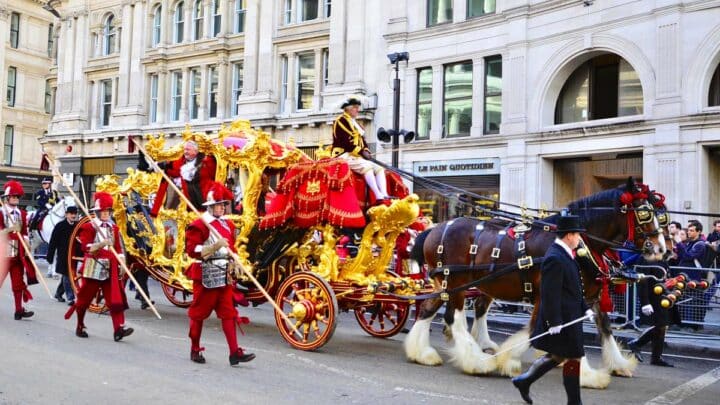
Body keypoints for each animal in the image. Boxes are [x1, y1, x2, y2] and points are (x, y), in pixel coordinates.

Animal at [408, 178, 668, 384]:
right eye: (644, 213)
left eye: (660, 214)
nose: (661, 249)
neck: (578, 243)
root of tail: (435, 228)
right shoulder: (550, 293)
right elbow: (538, 330)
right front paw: (509, 359)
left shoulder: (588, 294)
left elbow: (604, 328)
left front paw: (617, 364)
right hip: (455, 284)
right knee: (454, 317)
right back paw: (477, 361)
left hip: (448, 285)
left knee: (429, 308)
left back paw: (422, 353)